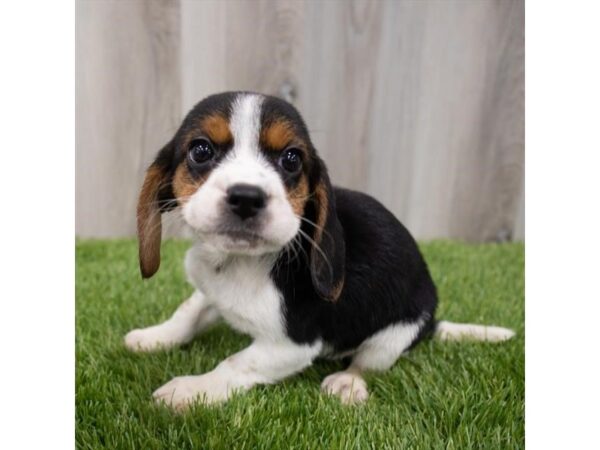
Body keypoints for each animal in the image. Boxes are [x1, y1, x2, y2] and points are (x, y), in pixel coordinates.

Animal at [123, 90, 516, 408]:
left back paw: (348, 383)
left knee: (367, 363)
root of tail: (431, 323)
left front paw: (189, 390)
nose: (247, 197)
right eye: (201, 150)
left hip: (394, 335)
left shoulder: (293, 345)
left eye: (292, 159)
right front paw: (154, 337)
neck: (240, 262)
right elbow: (188, 312)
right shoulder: (209, 290)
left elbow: (234, 364)